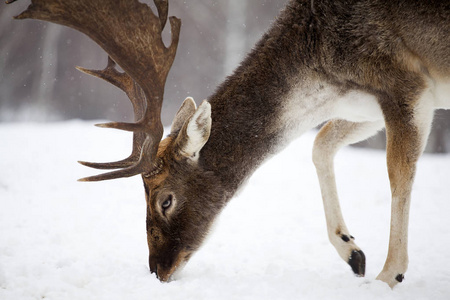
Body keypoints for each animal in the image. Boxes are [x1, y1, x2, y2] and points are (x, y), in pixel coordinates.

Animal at [5, 0, 448, 288]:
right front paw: (352, 252)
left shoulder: (407, 85)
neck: (323, 75)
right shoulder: (371, 108)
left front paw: (389, 276)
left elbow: (399, 173)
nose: (157, 269)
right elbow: (320, 143)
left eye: (165, 199)